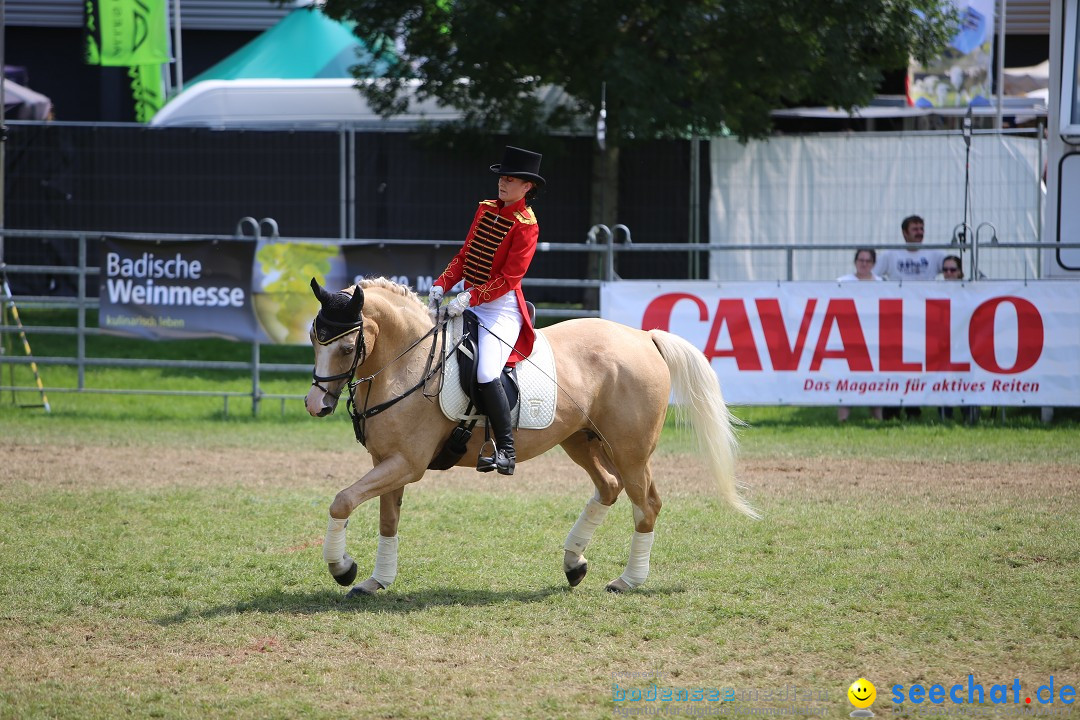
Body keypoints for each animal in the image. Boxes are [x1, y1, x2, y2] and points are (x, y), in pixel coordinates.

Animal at [304, 276, 760, 595]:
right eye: (313, 339)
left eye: (346, 349)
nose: (315, 405)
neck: (411, 362)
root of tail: (643, 337)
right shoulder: (387, 462)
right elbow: (386, 520)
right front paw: (375, 580)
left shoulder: (407, 464)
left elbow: (342, 500)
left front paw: (342, 569)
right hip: (582, 440)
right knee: (609, 488)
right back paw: (574, 563)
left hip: (630, 451)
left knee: (645, 505)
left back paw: (627, 580)